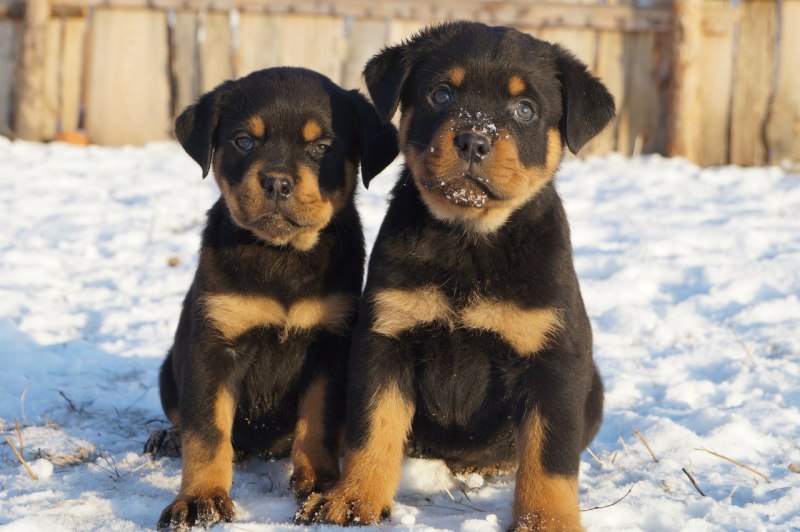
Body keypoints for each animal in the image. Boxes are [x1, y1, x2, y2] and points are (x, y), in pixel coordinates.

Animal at [144, 67, 398, 530]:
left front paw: (319, 481)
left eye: (322, 147)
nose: (277, 182)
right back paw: (168, 437)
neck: (281, 256)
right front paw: (199, 499)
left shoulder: (330, 346)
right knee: (186, 420)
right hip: (170, 370)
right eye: (245, 141)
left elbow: (318, 420)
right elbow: (207, 431)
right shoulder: (213, 346)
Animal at [296, 22, 614, 531]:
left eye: (526, 109)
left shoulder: (553, 358)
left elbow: (550, 457)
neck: (468, 241)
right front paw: (353, 497)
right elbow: (373, 428)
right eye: (441, 94)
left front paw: (549, 520)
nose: (473, 140)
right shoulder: (386, 338)